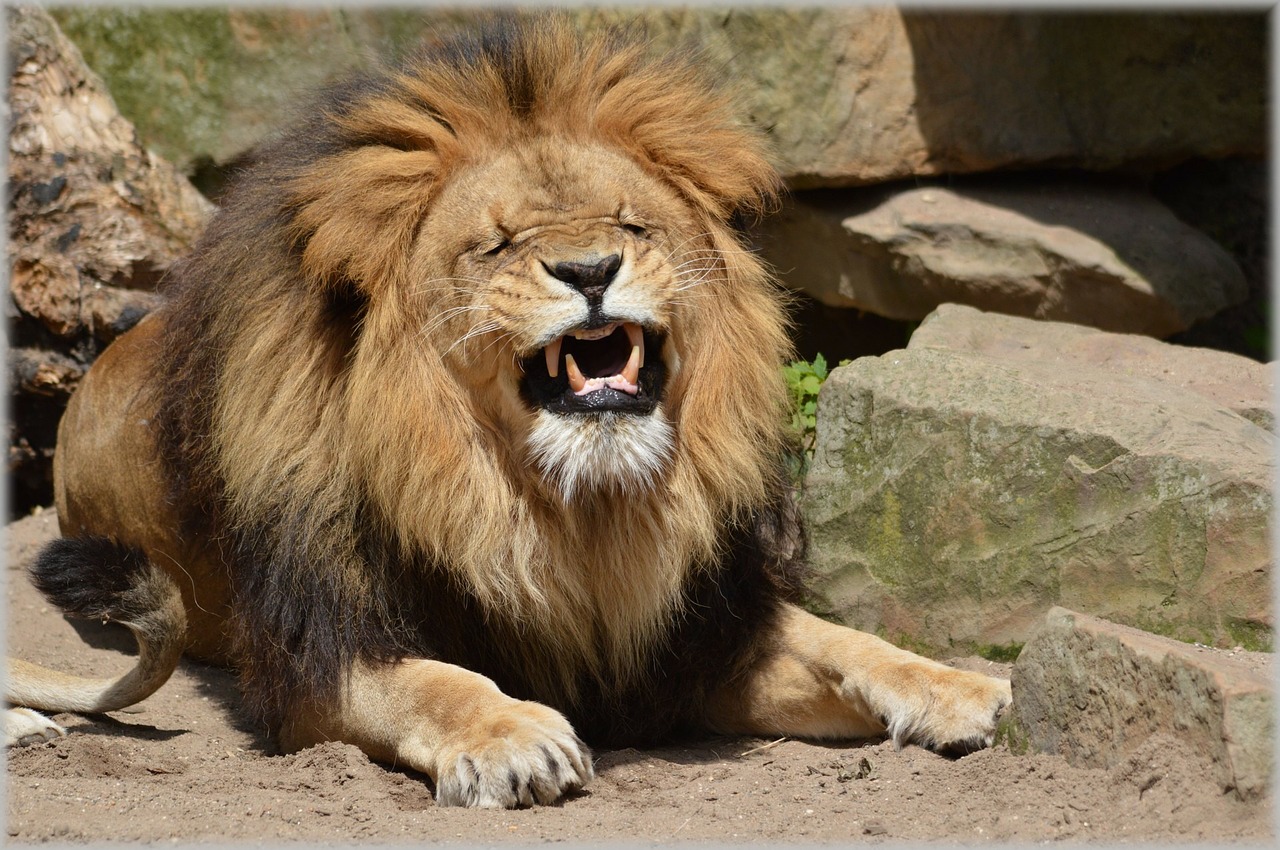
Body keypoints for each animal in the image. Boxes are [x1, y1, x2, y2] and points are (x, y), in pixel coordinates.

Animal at [5, 18, 1011, 805]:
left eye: (631, 223)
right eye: (496, 245)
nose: (591, 269)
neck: (577, 512)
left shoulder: (693, 642)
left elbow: (843, 640)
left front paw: (961, 688)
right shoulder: (318, 659)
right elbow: (436, 683)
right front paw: (516, 737)